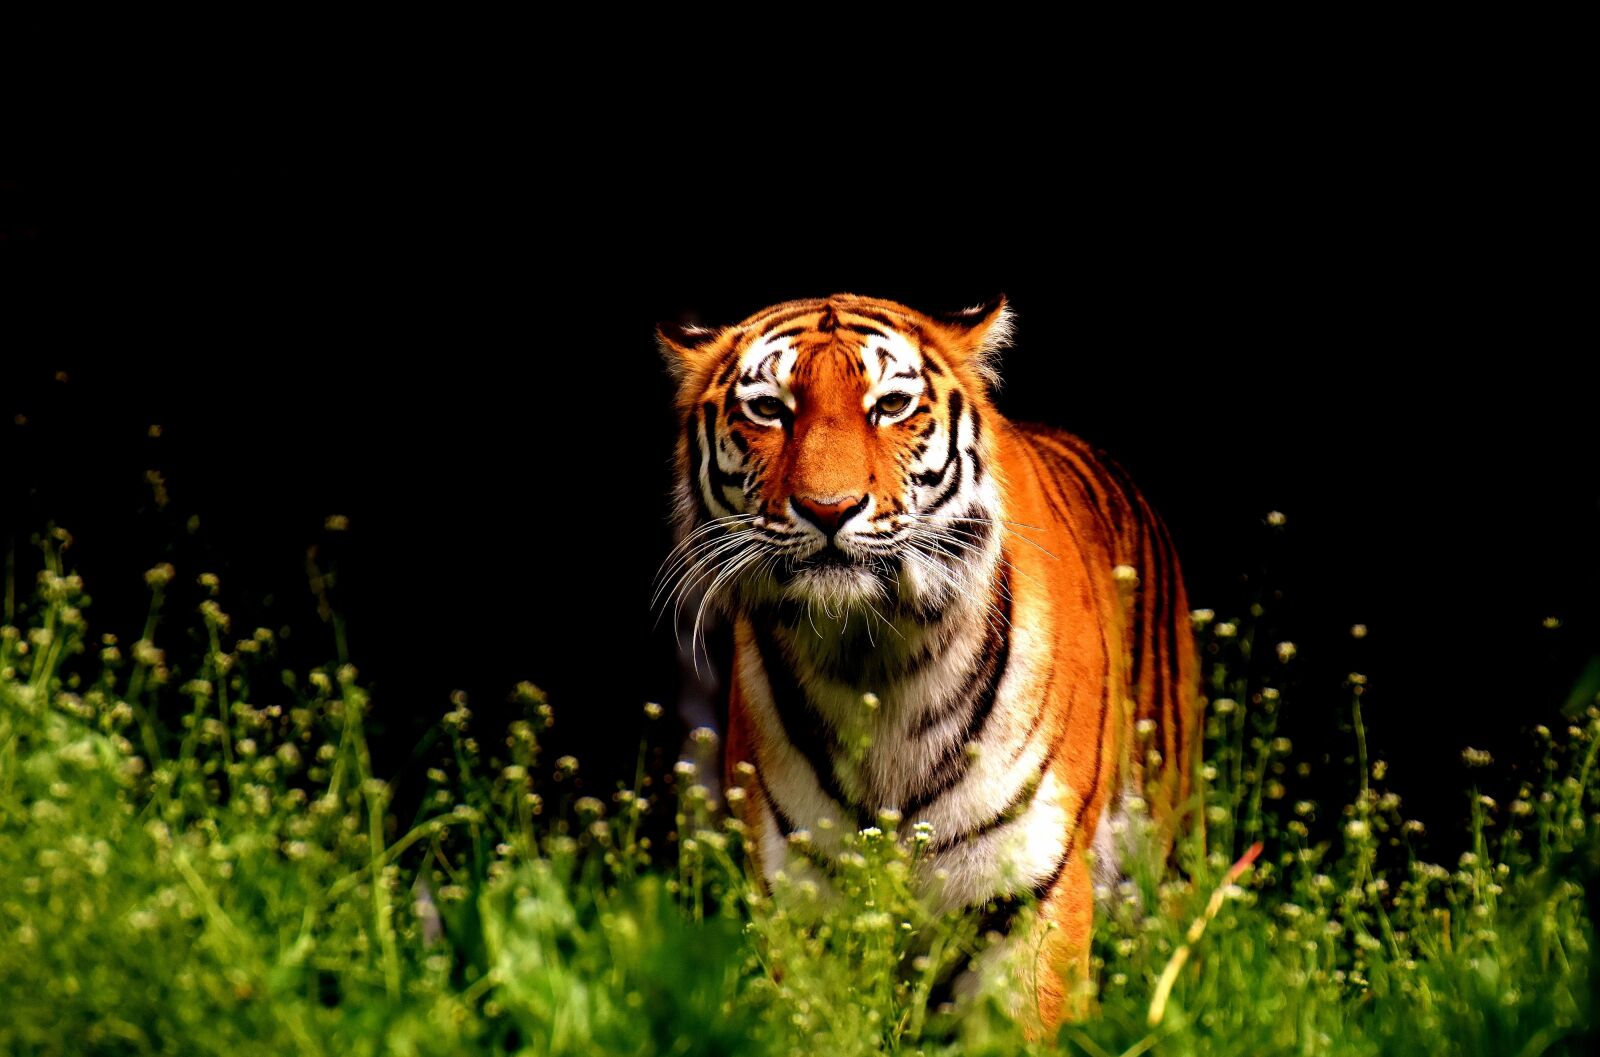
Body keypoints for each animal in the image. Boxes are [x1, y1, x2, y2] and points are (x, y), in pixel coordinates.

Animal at [657, 293, 1199, 1028]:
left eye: (890, 405)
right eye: (769, 409)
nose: (828, 509)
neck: (871, 664)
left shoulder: (1031, 889)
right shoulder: (798, 900)